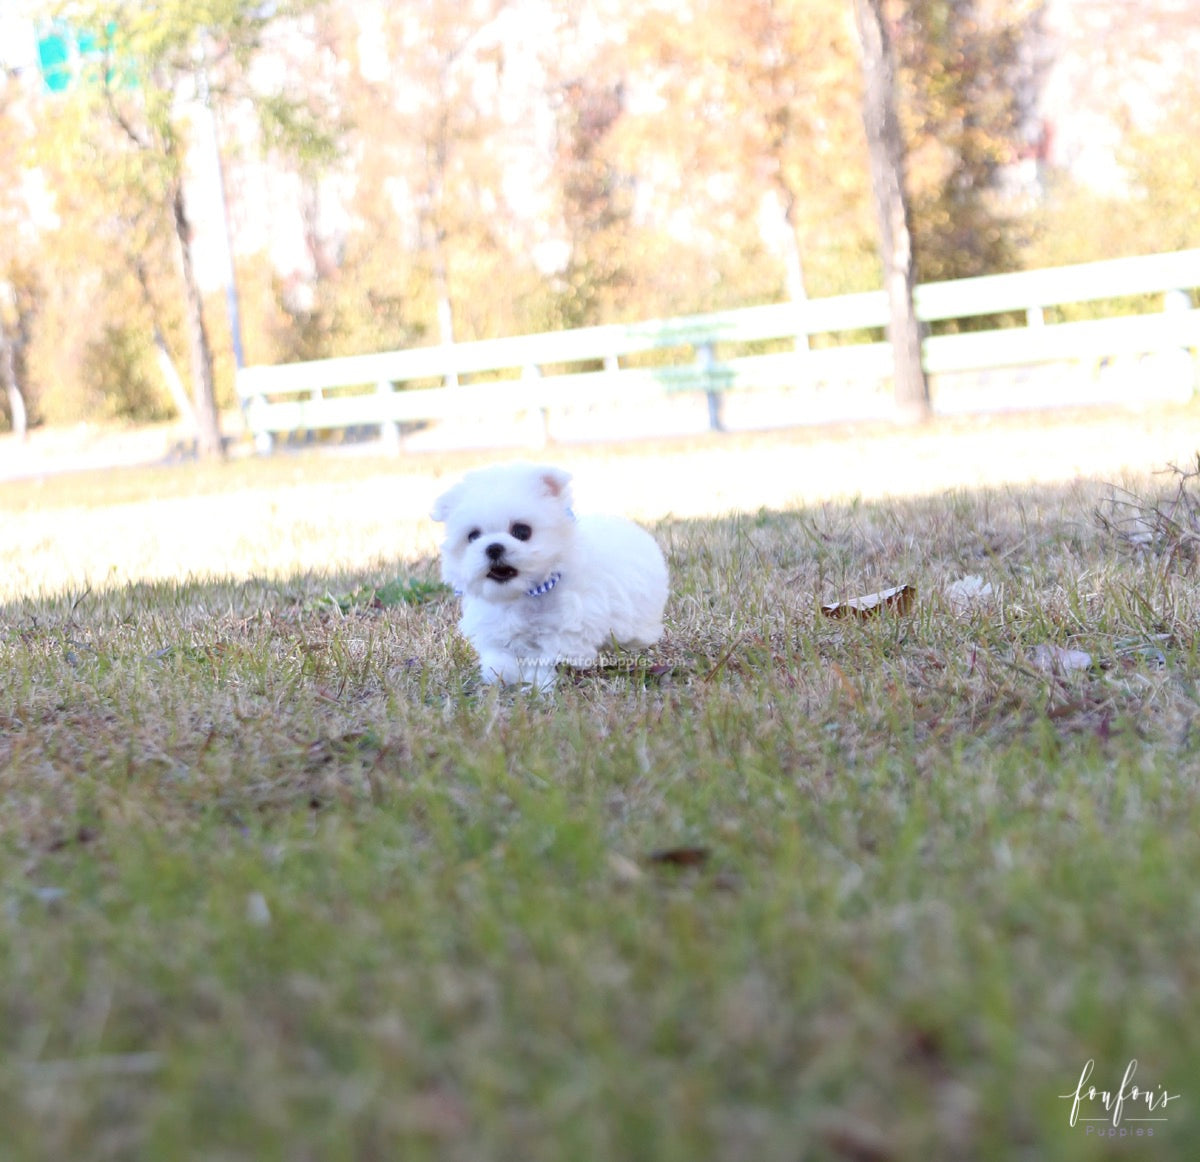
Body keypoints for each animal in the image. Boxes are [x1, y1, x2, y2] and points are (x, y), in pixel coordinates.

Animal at [434, 463, 672, 691]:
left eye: (522, 531)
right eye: (473, 536)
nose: (493, 548)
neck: (525, 594)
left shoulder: (567, 628)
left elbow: (545, 657)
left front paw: (539, 684)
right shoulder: (495, 626)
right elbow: (500, 654)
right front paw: (503, 674)